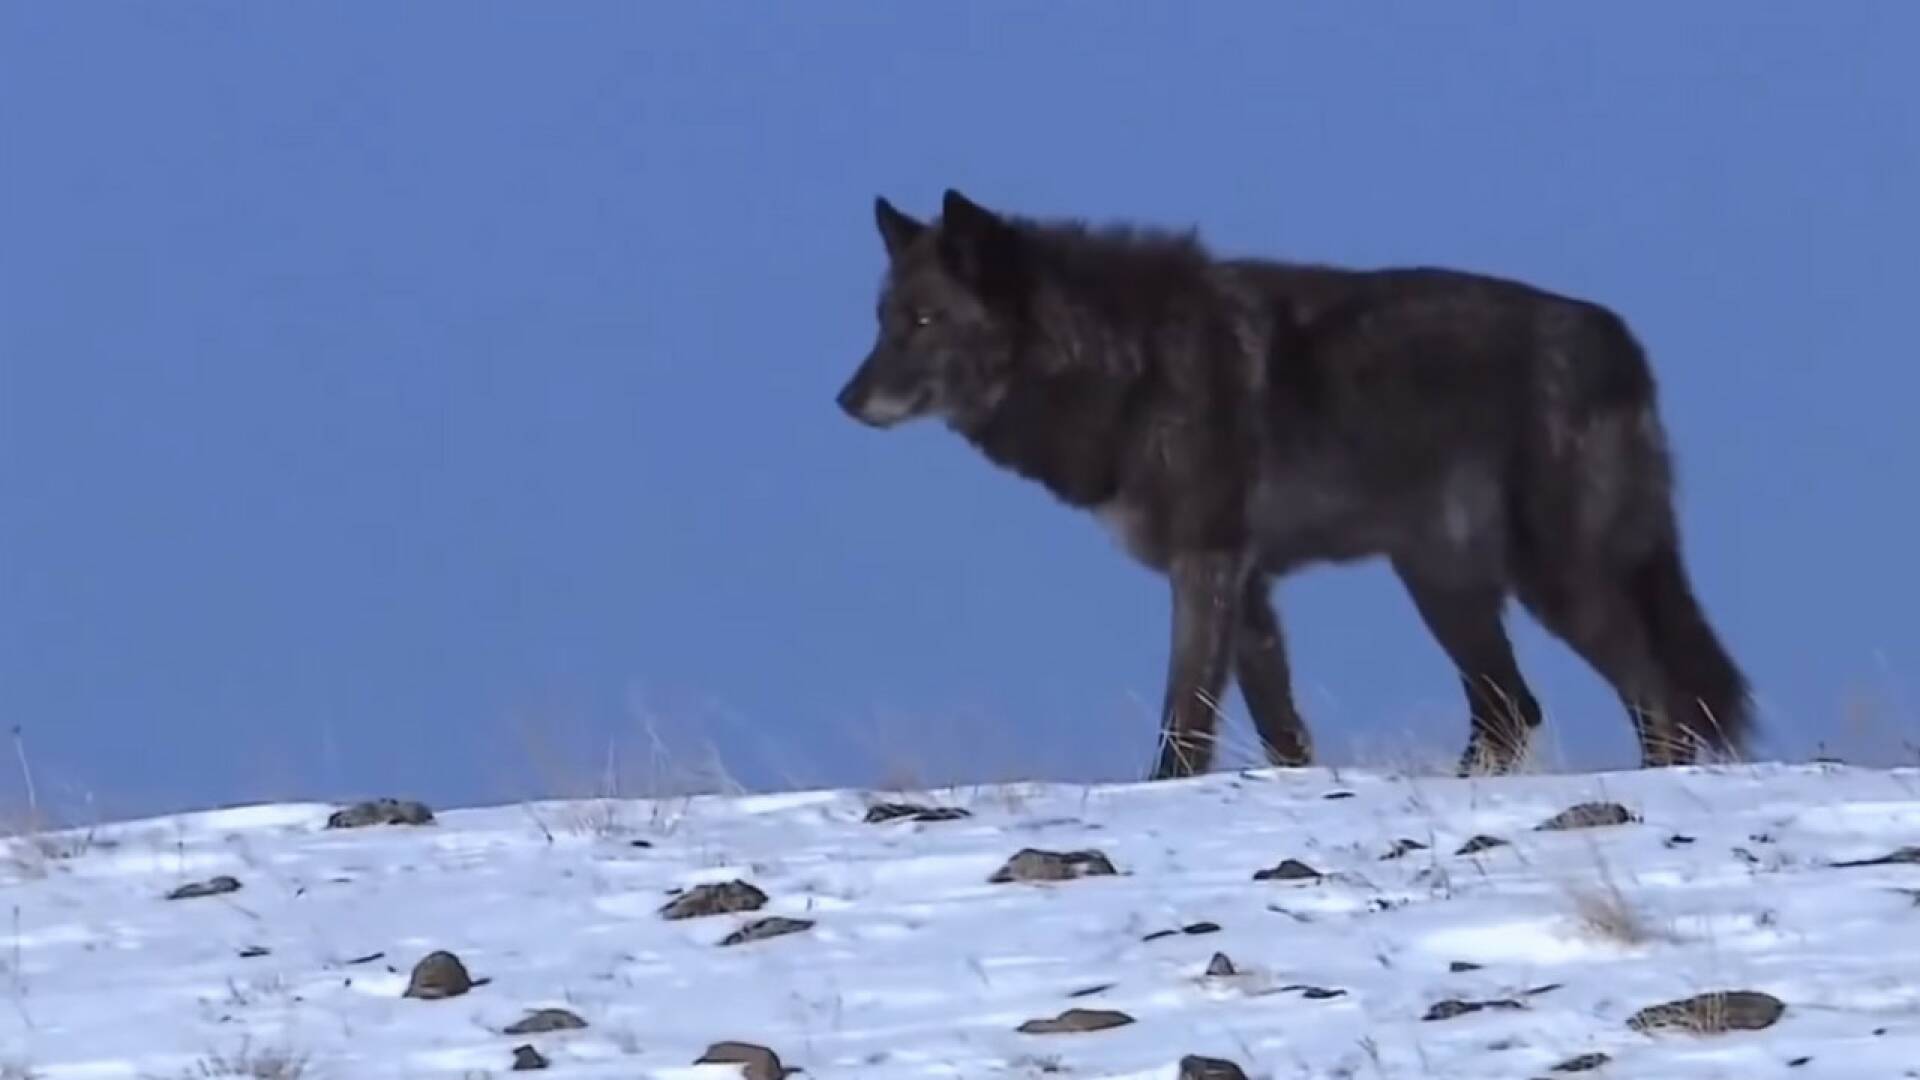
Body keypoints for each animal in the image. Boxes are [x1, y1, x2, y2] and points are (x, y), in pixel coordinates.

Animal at [840, 184, 1758, 772]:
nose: (845, 400)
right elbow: (1279, 727)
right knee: (1511, 711)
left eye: (925, 319)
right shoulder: (1249, 589)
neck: (1124, 363)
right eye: (882, 320)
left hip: (1550, 579)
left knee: (1655, 693)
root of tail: (1623, 341)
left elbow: (1185, 723)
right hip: (1445, 585)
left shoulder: (1205, 564)